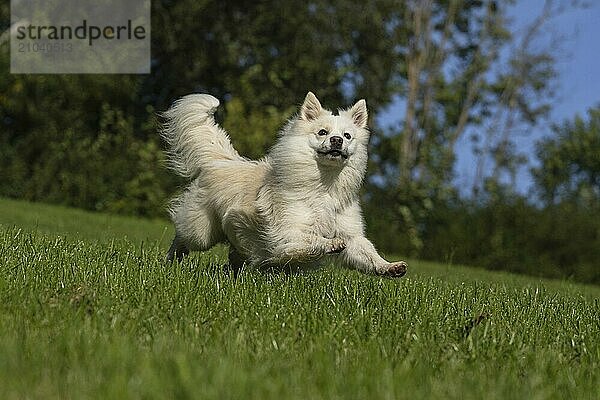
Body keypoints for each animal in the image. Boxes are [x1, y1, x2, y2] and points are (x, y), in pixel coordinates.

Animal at [162, 92, 408, 276]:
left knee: (235, 254)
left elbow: (368, 253)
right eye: (322, 132)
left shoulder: (352, 236)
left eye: (347, 136)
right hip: (202, 232)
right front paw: (331, 244)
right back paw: (171, 260)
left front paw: (390, 267)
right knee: (182, 237)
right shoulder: (287, 234)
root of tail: (220, 160)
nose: (337, 140)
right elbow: (313, 240)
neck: (325, 186)